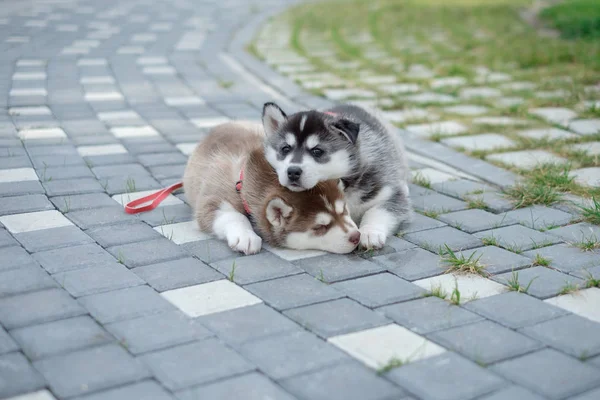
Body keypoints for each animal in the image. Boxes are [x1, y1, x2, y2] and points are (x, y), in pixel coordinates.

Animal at [183, 120, 360, 255]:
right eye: (320, 227)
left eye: (344, 210)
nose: (356, 236)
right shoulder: (214, 195)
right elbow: (231, 214)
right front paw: (246, 236)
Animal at [262, 101, 412, 248]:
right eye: (285, 149)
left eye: (317, 151)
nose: (293, 171)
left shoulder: (388, 192)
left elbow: (379, 210)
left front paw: (370, 232)